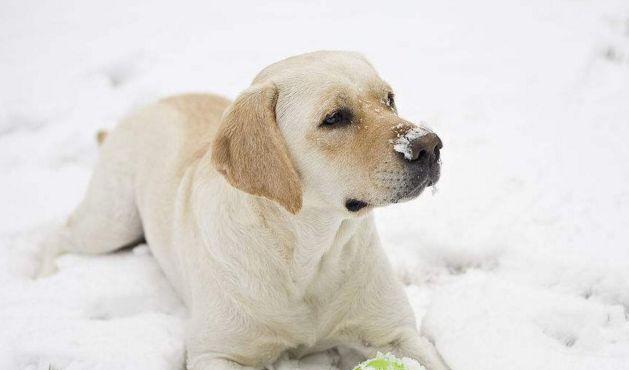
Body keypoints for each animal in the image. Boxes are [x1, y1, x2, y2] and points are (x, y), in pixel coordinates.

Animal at [41, 49, 446, 370]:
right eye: (334, 117)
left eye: (389, 99)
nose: (429, 145)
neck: (308, 254)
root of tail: (151, 106)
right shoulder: (214, 352)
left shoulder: (396, 334)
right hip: (109, 222)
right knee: (53, 233)